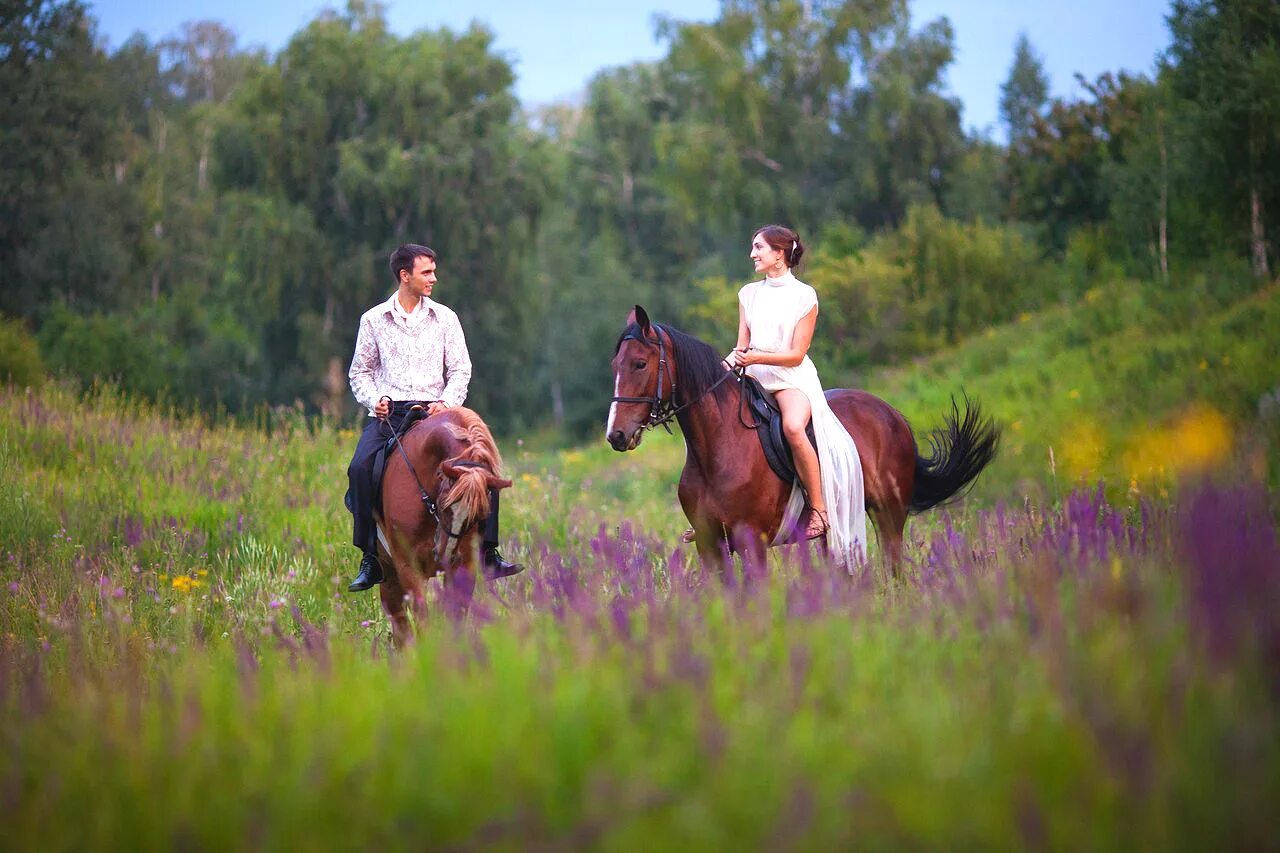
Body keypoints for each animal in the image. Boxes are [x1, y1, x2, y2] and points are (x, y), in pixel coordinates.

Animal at [373, 404, 509, 637]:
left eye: (480, 514)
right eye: (446, 503)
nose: (445, 556)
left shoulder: (464, 566)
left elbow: (454, 618)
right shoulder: (408, 566)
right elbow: (422, 623)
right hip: (388, 571)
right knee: (401, 627)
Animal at [609, 306, 998, 571]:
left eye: (640, 364)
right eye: (616, 365)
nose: (616, 435)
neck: (717, 450)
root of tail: (892, 414)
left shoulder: (752, 542)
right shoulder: (710, 545)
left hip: (889, 514)